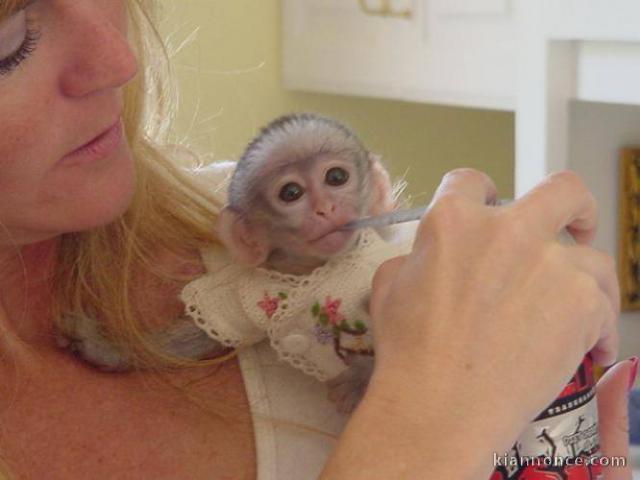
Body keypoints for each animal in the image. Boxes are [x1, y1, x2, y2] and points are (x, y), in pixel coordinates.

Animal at [60, 112, 411, 413]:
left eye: (336, 176)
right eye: (291, 192)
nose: (325, 207)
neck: (311, 272)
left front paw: (362, 377)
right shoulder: (243, 296)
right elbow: (204, 334)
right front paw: (105, 348)